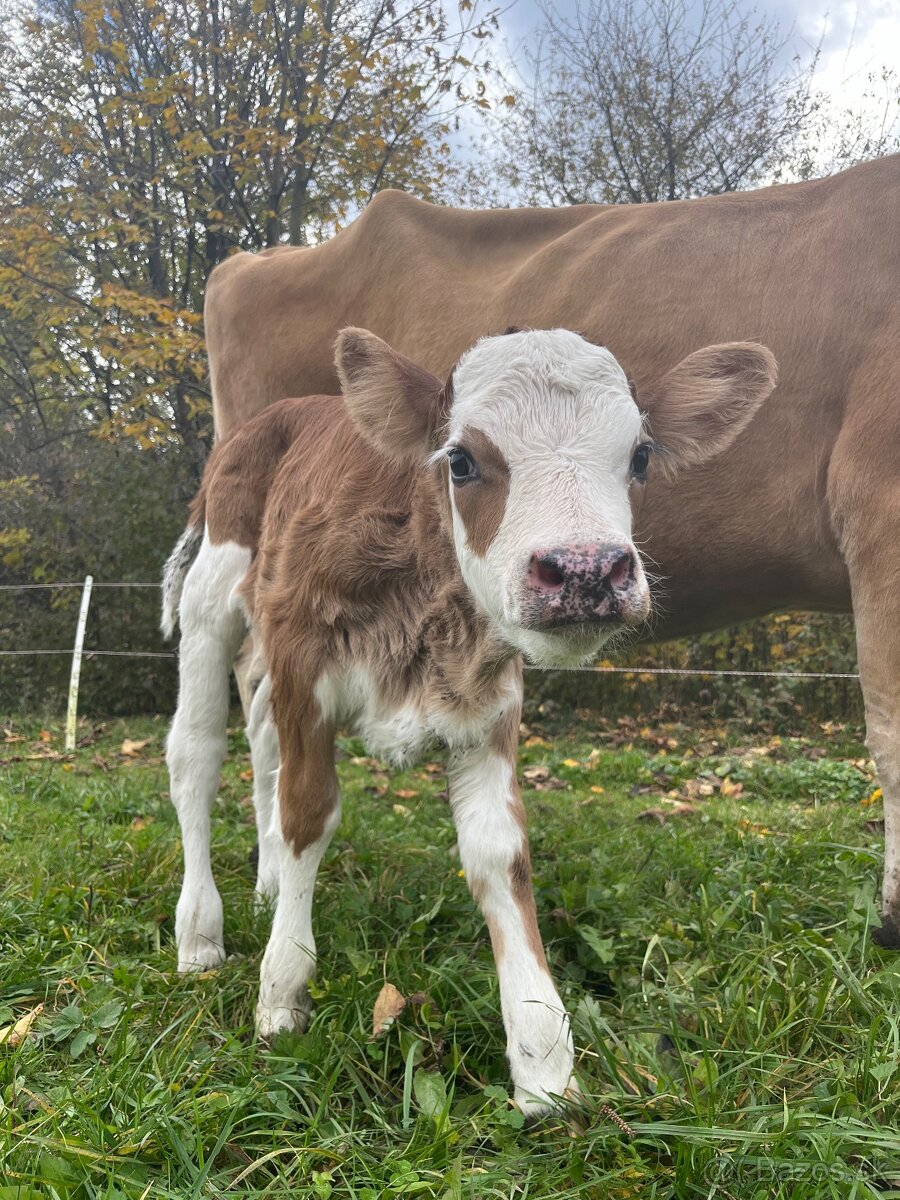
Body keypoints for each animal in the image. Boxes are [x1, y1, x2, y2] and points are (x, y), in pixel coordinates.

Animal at [165, 328, 777, 1113]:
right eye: (460, 461)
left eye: (640, 455)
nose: (586, 570)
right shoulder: (304, 662)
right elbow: (309, 813)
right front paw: (281, 990)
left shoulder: (490, 704)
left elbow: (498, 853)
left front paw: (544, 1061)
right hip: (213, 593)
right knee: (197, 754)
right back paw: (199, 931)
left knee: (261, 735)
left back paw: (268, 880)